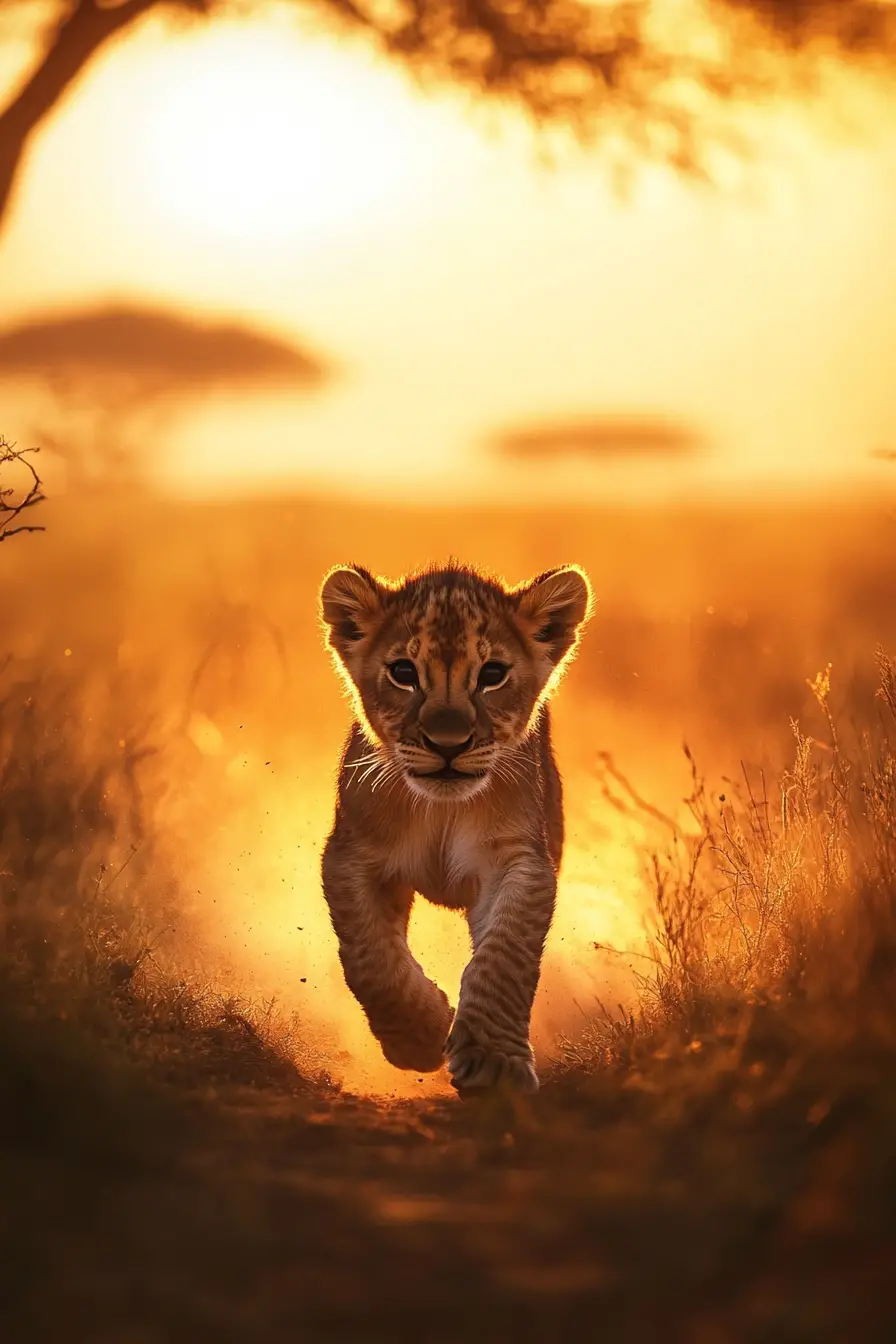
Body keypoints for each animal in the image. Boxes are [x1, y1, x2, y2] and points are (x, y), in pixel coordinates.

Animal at [318, 560, 592, 1094]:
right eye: (404, 673)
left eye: (492, 675)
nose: (448, 744)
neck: (441, 812)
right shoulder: (350, 855)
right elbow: (369, 958)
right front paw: (420, 1035)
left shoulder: (519, 859)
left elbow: (505, 956)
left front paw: (494, 1064)